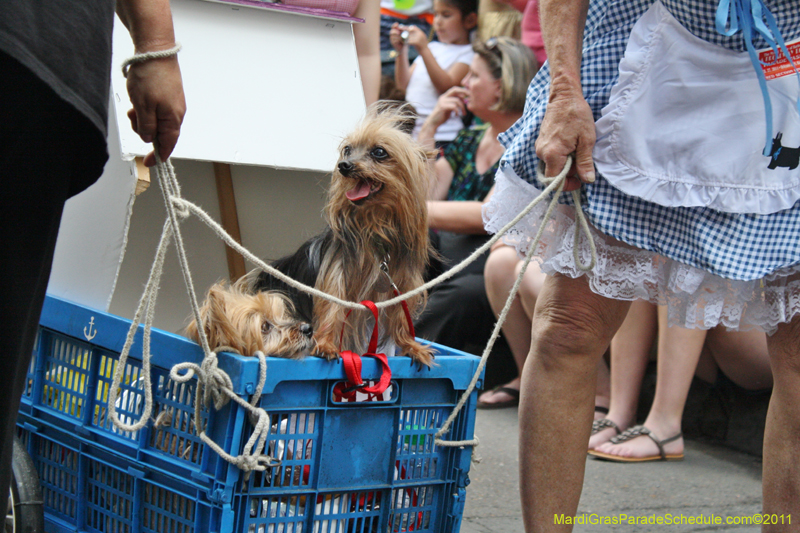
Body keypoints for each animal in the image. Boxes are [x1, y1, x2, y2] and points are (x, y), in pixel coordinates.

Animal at [252, 100, 434, 366]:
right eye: (348, 150)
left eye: (379, 152)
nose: (344, 166)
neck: (375, 227)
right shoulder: (336, 273)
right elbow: (332, 307)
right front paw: (327, 345)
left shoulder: (401, 281)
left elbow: (401, 316)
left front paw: (411, 346)